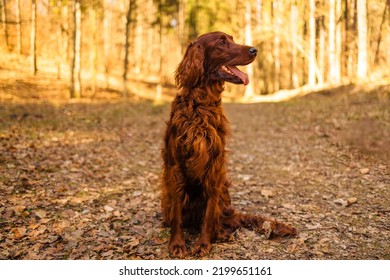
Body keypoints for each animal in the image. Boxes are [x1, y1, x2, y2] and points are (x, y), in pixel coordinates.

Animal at [161, 31, 296, 258]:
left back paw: (221, 234)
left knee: (221, 219)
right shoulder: (176, 166)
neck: (201, 105)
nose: (254, 50)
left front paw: (203, 243)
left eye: (232, 39)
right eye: (222, 42)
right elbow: (177, 214)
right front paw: (177, 244)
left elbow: (209, 216)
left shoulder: (214, 166)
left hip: (224, 192)